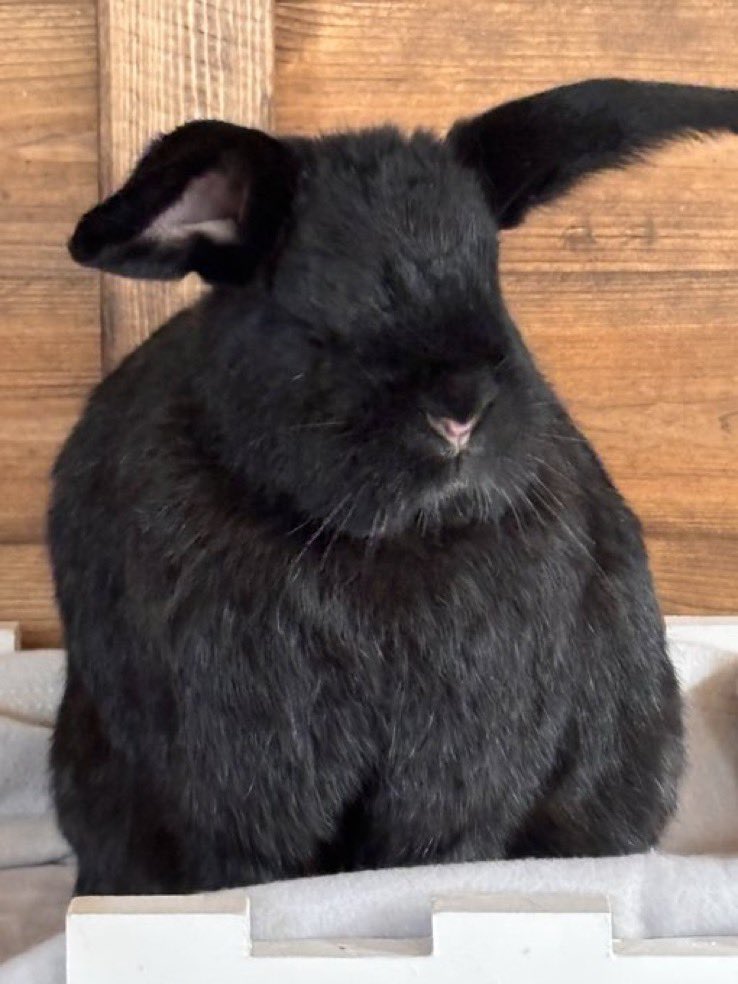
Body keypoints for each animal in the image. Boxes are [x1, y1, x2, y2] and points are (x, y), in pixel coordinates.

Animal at [49, 79, 738, 896]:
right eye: (314, 307)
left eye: (495, 287)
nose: (460, 410)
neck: (372, 544)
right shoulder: (237, 771)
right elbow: (254, 869)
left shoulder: (467, 761)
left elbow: (441, 851)